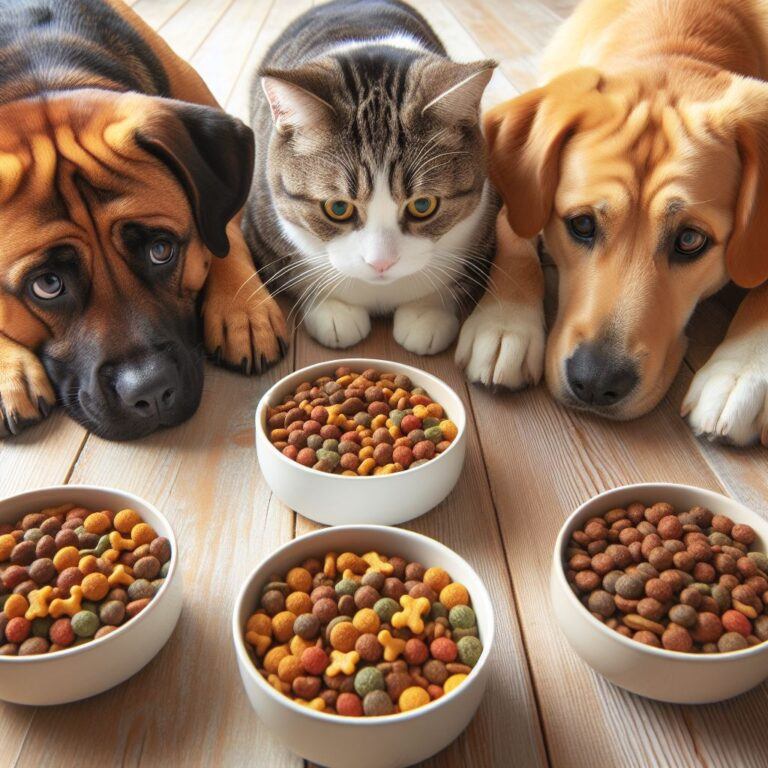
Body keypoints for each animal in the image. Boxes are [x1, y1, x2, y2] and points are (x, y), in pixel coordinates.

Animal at [0, 0, 286, 440]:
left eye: (161, 249)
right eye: (47, 285)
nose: (150, 392)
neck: (40, 78)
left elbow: (223, 235)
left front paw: (243, 309)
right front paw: (8, 370)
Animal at [244, 0, 498, 354]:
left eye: (423, 205)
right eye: (338, 208)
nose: (381, 264)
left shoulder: (484, 226)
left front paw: (427, 312)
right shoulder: (261, 226)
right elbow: (293, 272)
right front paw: (332, 308)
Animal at [462, 0, 768, 448]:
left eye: (690, 239)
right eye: (582, 224)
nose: (595, 383)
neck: (676, 37)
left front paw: (741, 372)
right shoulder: (515, 191)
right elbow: (515, 233)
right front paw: (505, 323)